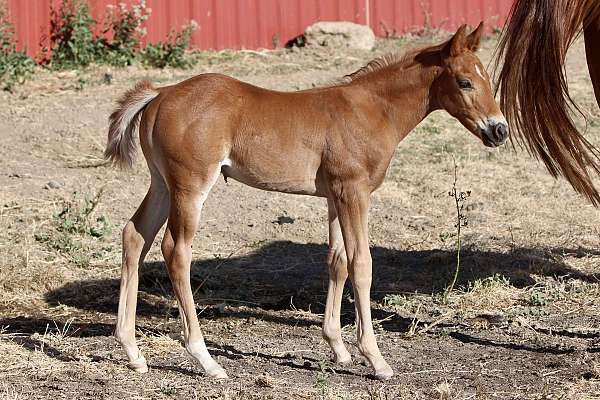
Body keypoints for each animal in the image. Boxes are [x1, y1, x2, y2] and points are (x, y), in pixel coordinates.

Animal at [106, 22, 506, 382]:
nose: (499, 130)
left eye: (488, 79)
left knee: (134, 236)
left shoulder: (334, 197)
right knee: (175, 250)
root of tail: (160, 94)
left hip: (162, 185)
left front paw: (339, 348)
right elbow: (362, 264)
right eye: (465, 82)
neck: (372, 110)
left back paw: (133, 352)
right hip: (190, 186)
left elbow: (338, 261)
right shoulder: (353, 191)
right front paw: (375, 359)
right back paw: (206, 360)